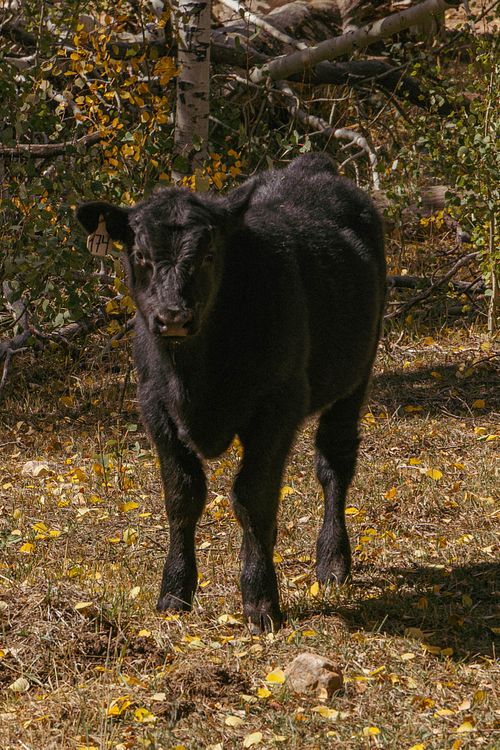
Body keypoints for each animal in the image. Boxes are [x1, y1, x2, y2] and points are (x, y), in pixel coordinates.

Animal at [77, 153, 386, 631]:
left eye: (207, 255)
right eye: (141, 255)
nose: (172, 317)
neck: (194, 380)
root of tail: (310, 166)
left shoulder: (278, 406)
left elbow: (252, 497)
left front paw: (260, 601)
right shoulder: (155, 407)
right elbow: (182, 496)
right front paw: (174, 592)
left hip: (356, 375)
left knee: (334, 463)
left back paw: (333, 561)